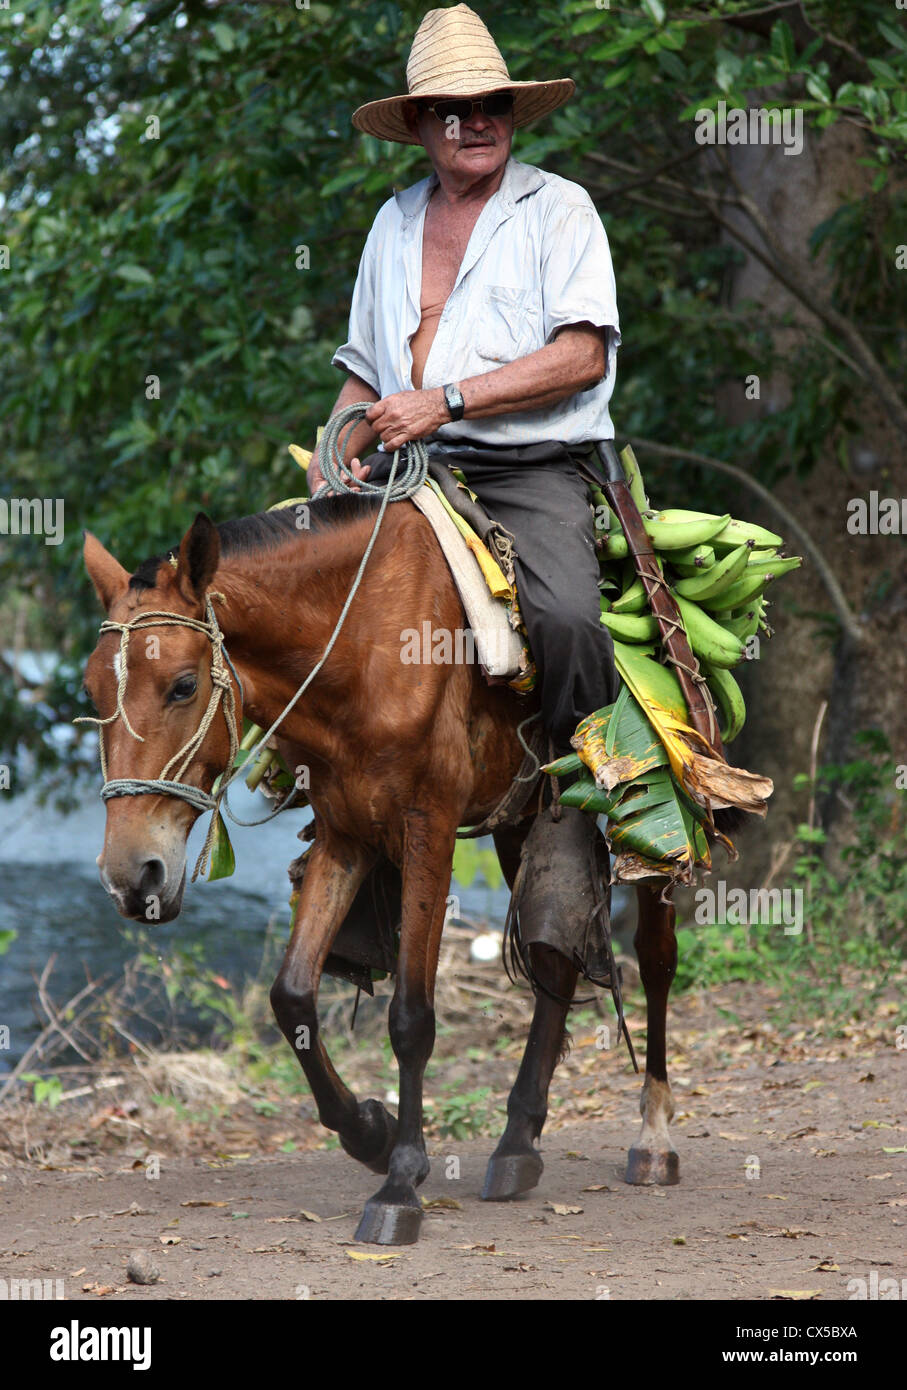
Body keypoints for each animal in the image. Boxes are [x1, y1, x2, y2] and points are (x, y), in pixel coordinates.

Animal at [82, 497, 677, 1251]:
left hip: (650, 808)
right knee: (554, 962)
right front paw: (369, 1130)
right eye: (90, 690)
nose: (131, 878)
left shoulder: (428, 833)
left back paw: (654, 1136)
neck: (359, 646)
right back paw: (517, 1142)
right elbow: (292, 997)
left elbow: (411, 1017)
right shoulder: (346, 835)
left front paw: (400, 1183)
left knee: (653, 954)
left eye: (184, 685)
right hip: (524, 819)